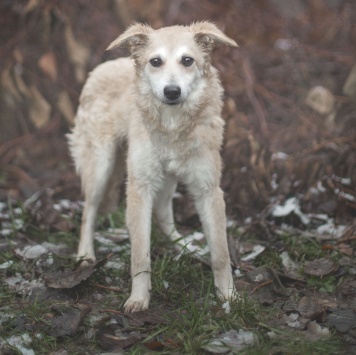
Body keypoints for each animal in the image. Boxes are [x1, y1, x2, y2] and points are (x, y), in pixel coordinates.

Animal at [68, 22, 238, 312]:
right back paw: (85, 256)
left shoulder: (208, 190)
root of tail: (103, 66)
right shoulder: (140, 188)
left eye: (187, 60)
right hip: (100, 166)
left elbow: (221, 252)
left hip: (167, 178)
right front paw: (138, 298)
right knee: (88, 212)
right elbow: (140, 255)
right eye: (155, 62)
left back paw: (184, 246)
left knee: (162, 212)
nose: (172, 91)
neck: (172, 126)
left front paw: (228, 295)